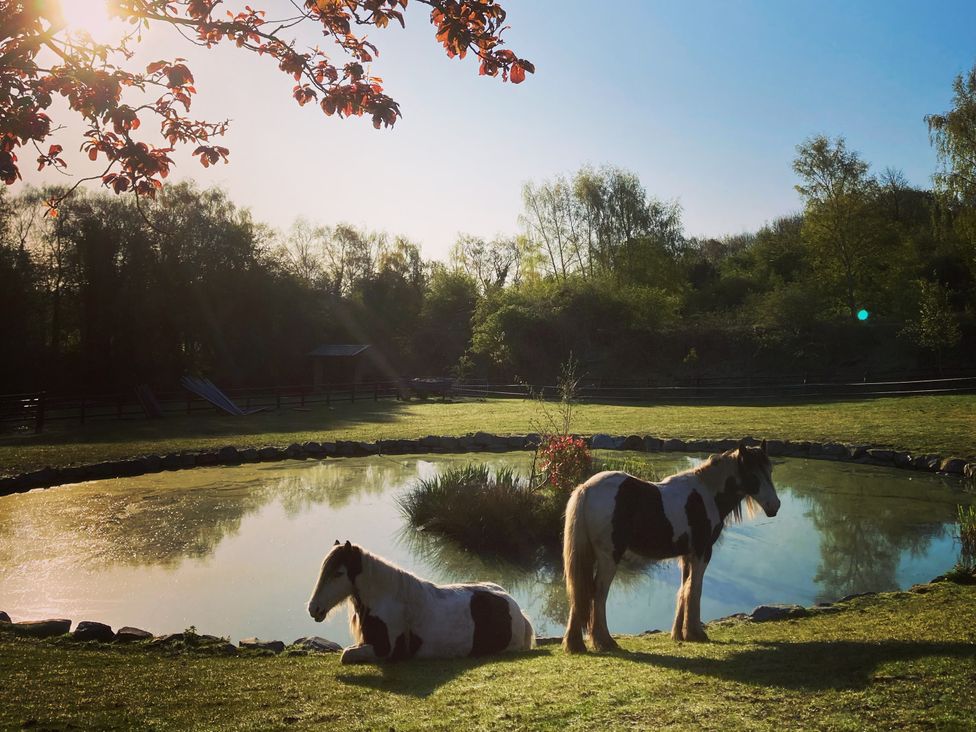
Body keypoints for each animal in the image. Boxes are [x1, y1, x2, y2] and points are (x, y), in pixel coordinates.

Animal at [306, 536, 532, 664]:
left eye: (339, 573)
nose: (313, 609)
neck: (389, 599)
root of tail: (516, 609)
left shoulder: (383, 652)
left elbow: (345, 655)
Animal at [560, 440, 780, 652]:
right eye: (753, 474)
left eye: (769, 471)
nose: (775, 506)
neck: (707, 494)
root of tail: (586, 488)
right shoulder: (702, 552)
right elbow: (694, 589)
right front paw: (695, 633)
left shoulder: (687, 555)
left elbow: (683, 589)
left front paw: (679, 634)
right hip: (609, 557)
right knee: (598, 594)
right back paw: (604, 641)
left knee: (580, 592)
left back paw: (577, 644)